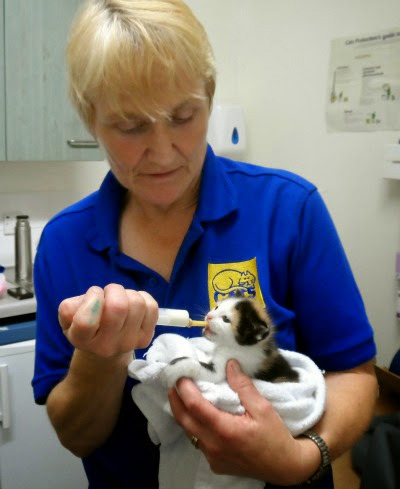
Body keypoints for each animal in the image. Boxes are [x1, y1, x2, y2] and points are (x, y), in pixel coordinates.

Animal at [161, 292, 298, 386]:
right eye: (217, 307)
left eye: (226, 320)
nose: (209, 316)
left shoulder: (228, 365)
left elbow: (195, 366)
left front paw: (171, 370)